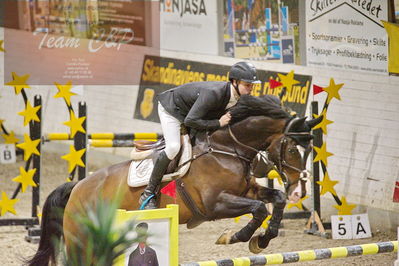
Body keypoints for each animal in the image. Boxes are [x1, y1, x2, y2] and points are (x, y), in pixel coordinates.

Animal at [27, 94, 322, 264]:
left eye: (310, 149)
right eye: (293, 150)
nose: (299, 191)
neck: (226, 148)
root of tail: (77, 187)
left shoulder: (247, 191)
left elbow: (275, 200)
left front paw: (262, 240)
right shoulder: (215, 204)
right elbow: (259, 208)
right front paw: (234, 236)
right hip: (82, 241)